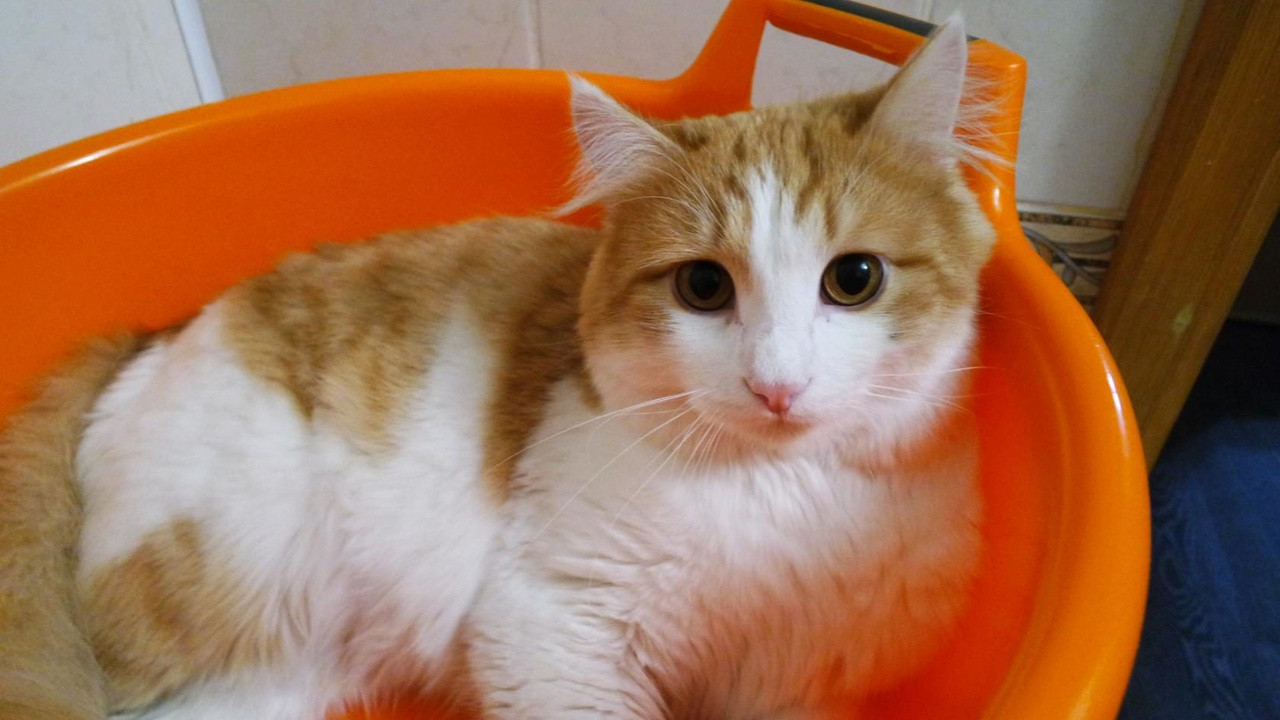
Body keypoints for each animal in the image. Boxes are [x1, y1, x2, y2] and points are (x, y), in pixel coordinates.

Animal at [0, 18, 994, 720]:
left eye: (854, 279)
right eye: (704, 286)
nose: (776, 385)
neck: (785, 502)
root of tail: (150, 335)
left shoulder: (792, 688)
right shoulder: (553, 629)